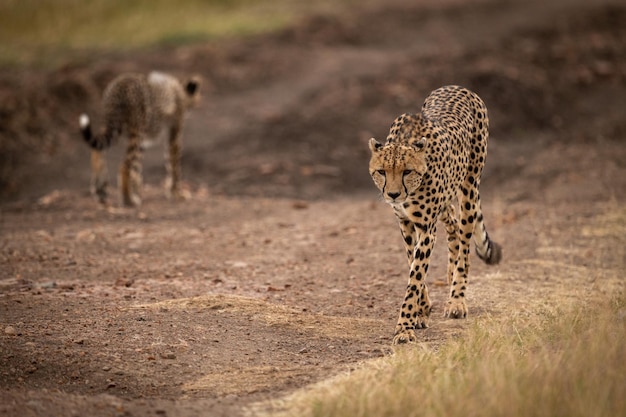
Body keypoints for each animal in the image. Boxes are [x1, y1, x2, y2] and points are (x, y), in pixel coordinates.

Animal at [79, 72, 199, 208]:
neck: (177, 87)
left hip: (114, 127)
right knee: (124, 166)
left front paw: (137, 189)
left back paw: (100, 191)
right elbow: (174, 165)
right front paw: (176, 192)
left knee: (97, 150)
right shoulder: (174, 133)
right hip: (135, 131)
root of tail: (121, 83)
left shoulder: (145, 141)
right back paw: (128, 200)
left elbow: (137, 169)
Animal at [368, 83, 500, 342]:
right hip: (447, 201)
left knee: (464, 242)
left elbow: (416, 276)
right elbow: (413, 263)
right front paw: (421, 311)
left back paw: (457, 299)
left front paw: (405, 327)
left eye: (407, 171)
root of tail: (456, 86)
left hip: (469, 188)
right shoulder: (406, 223)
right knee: (453, 224)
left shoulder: (426, 227)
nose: (393, 195)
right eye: (382, 171)